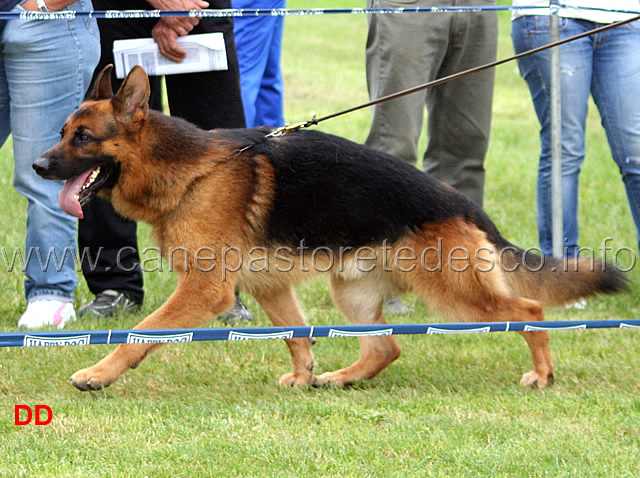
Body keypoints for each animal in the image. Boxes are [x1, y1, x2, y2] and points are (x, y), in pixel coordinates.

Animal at [33, 65, 624, 390]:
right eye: (62, 132)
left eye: (83, 137)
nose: (37, 166)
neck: (191, 171)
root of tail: (457, 200)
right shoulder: (269, 286)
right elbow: (297, 333)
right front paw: (301, 375)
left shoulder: (205, 289)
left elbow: (144, 332)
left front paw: (99, 373)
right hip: (352, 292)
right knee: (385, 349)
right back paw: (338, 379)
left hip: (453, 291)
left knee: (529, 310)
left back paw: (542, 373)